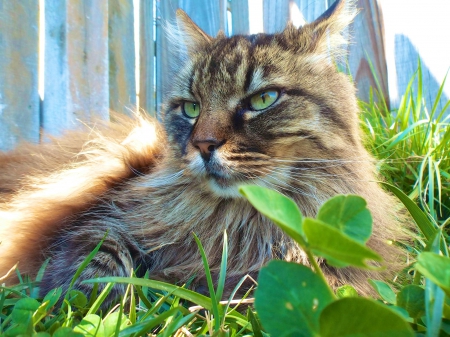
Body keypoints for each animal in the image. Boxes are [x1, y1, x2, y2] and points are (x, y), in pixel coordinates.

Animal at [0, 0, 408, 304]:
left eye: (263, 99)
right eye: (191, 108)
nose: (203, 145)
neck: (236, 222)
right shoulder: (103, 219)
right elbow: (97, 262)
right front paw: (85, 304)